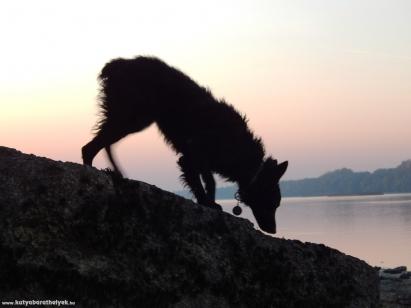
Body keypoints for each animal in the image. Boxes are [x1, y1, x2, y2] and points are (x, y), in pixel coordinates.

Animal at [82, 56, 288, 233]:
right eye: (272, 202)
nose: (273, 230)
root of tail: (118, 64)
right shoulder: (190, 158)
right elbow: (205, 182)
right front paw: (206, 202)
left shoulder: (201, 160)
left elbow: (209, 181)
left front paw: (210, 202)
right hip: (134, 118)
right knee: (91, 147)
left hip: (132, 119)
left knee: (102, 144)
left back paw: (114, 172)